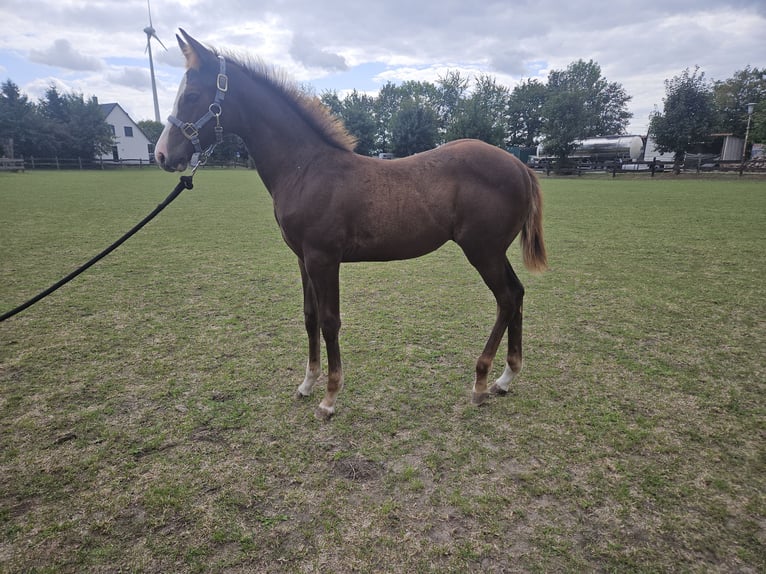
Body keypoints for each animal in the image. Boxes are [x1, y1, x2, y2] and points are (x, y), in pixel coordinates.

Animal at [155, 30, 547, 420]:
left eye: (191, 95)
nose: (162, 155)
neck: (306, 169)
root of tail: (520, 166)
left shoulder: (324, 259)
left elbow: (330, 322)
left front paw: (329, 398)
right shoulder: (303, 260)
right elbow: (310, 317)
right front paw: (307, 384)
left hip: (482, 251)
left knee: (506, 299)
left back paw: (480, 383)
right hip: (494, 251)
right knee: (517, 294)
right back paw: (505, 379)